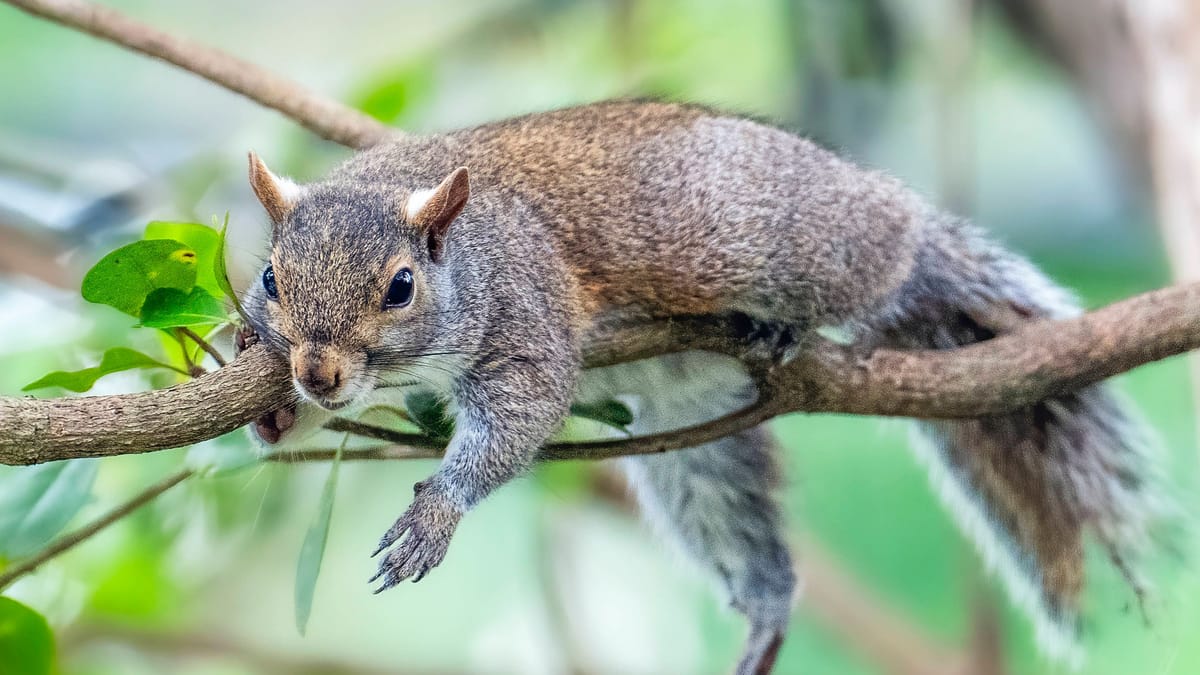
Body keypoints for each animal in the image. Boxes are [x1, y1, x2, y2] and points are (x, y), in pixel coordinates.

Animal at [236, 99, 1161, 672]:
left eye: (400, 287)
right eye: (269, 278)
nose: (318, 373)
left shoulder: (530, 313)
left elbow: (519, 413)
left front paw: (437, 512)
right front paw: (268, 409)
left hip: (791, 244)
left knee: (887, 258)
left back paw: (814, 306)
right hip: (696, 452)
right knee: (739, 525)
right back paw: (767, 612)